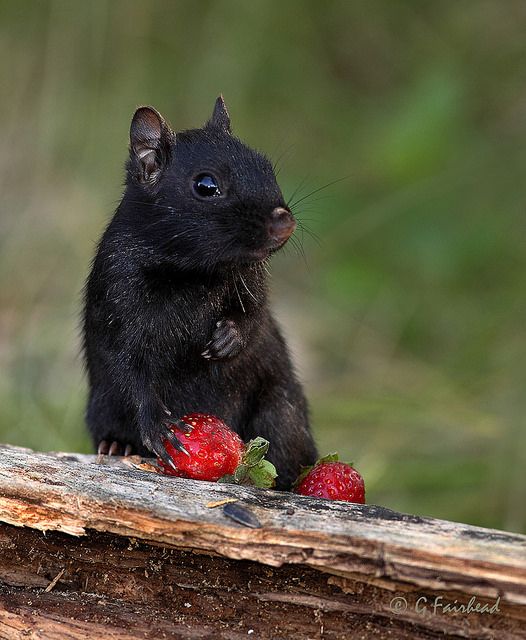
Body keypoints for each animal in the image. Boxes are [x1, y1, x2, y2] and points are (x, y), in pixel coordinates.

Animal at [83, 97, 318, 490]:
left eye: (266, 166)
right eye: (206, 185)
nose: (284, 222)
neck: (194, 274)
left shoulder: (252, 282)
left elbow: (254, 317)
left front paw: (229, 338)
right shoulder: (117, 298)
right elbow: (129, 372)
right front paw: (159, 428)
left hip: (280, 412)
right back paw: (117, 444)